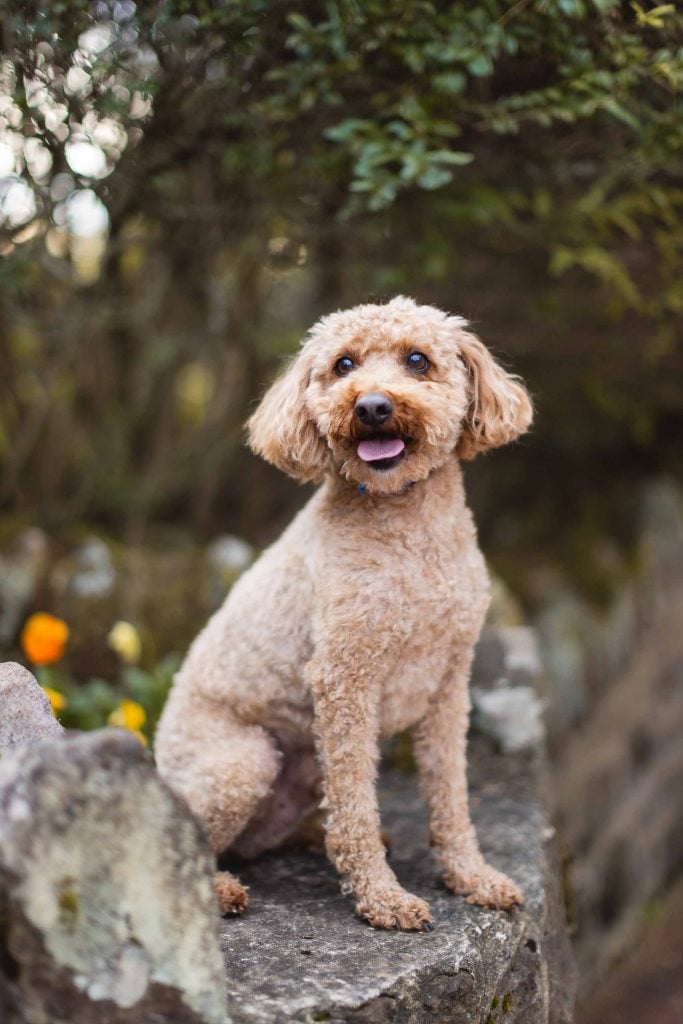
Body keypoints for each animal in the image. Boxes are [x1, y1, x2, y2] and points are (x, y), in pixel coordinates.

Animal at [154, 294, 532, 929]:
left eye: (418, 360)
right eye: (343, 365)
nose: (372, 406)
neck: (407, 527)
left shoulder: (450, 685)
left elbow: (450, 794)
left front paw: (471, 876)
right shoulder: (345, 681)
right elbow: (355, 802)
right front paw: (383, 898)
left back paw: (315, 836)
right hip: (242, 761)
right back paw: (222, 889)